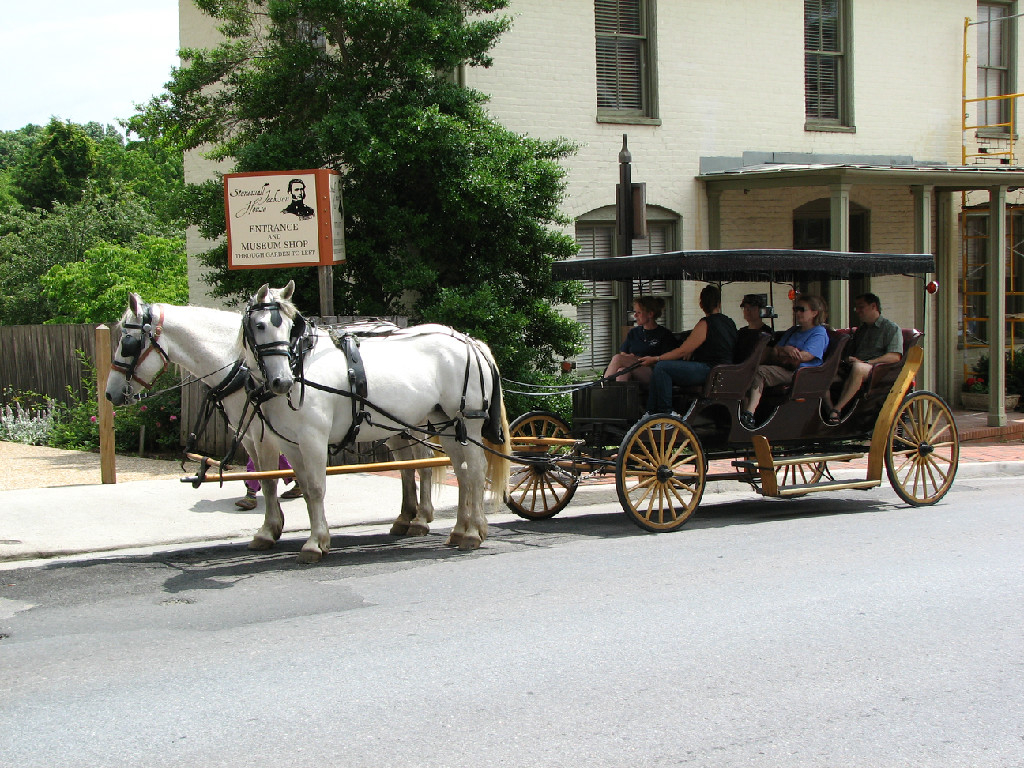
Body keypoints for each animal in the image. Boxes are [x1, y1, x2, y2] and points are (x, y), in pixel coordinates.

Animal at [103, 294, 440, 552]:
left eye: (127, 342)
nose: (110, 393)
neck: (240, 364)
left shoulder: (265, 434)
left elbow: (270, 479)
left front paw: (270, 529)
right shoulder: (253, 435)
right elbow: (266, 477)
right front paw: (271, 523)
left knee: (423, 462)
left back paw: (420, 518)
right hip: (392, 425)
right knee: (406, 463)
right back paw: (405, 517)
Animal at [240, 282, 512, 565]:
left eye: (288, 325)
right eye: (260, 325)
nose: (282, 381)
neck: (302, 365)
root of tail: (470, 342)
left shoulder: (313, 438)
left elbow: (315, 488)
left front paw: (315, 543)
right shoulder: (290, 444)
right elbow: (302, 488)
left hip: (468, 421)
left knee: (477, 469)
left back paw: (473, 532)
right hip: (447, 423)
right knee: (462, 471)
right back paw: (459, 530)